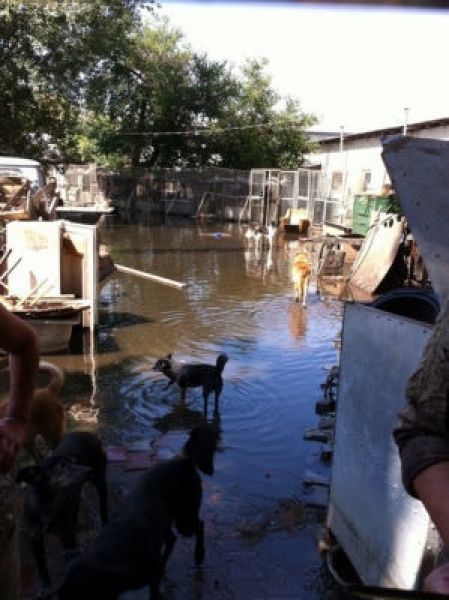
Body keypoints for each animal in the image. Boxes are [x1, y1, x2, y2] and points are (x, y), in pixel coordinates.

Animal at [17, 431, 109, 593]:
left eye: (75, 461)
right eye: (62, 466)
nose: (88, 470)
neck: (47, 503)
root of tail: (88, 434)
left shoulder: (66, 535)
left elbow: (70, 560)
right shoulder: (35, 538)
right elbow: (41, 566)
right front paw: (46, 587)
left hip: (100, 479)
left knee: (103, 505)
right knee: (75, 507)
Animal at [58, 423, 219, 600]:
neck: (113, 554)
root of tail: (186, 461)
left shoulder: (151, 576)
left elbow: (154, 593)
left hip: (185, 519)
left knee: (199, 525)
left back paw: (199, 554)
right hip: (166, 522)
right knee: (172, 539)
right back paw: (166, 562)